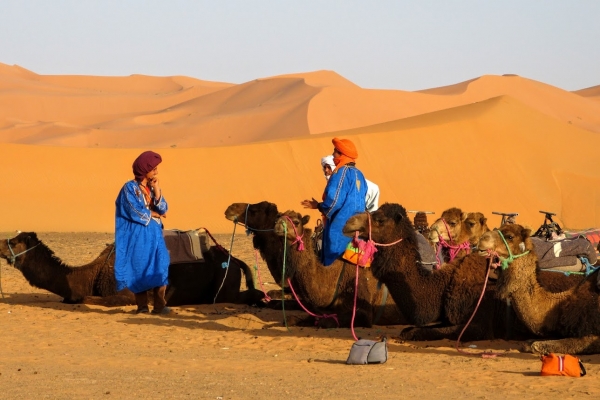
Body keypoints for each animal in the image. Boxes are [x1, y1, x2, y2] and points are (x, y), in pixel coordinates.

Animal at [0, 231, 264, 306]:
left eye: (16, 241)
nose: (1, 243)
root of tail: (234, 259)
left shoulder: (125, 294)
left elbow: (88, 299)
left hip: (224, 282)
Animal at [274, 211, 406, 326]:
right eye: (278, 217)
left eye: (296, 222)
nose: (278, 225)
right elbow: (291, 319)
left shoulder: (363, 302)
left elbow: (328, 321)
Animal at [344, 203, 584, 340]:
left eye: (379, 219)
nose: (349, 222)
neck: (441, 286)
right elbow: (409, 329)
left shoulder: (478, 325)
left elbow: (416, 332)